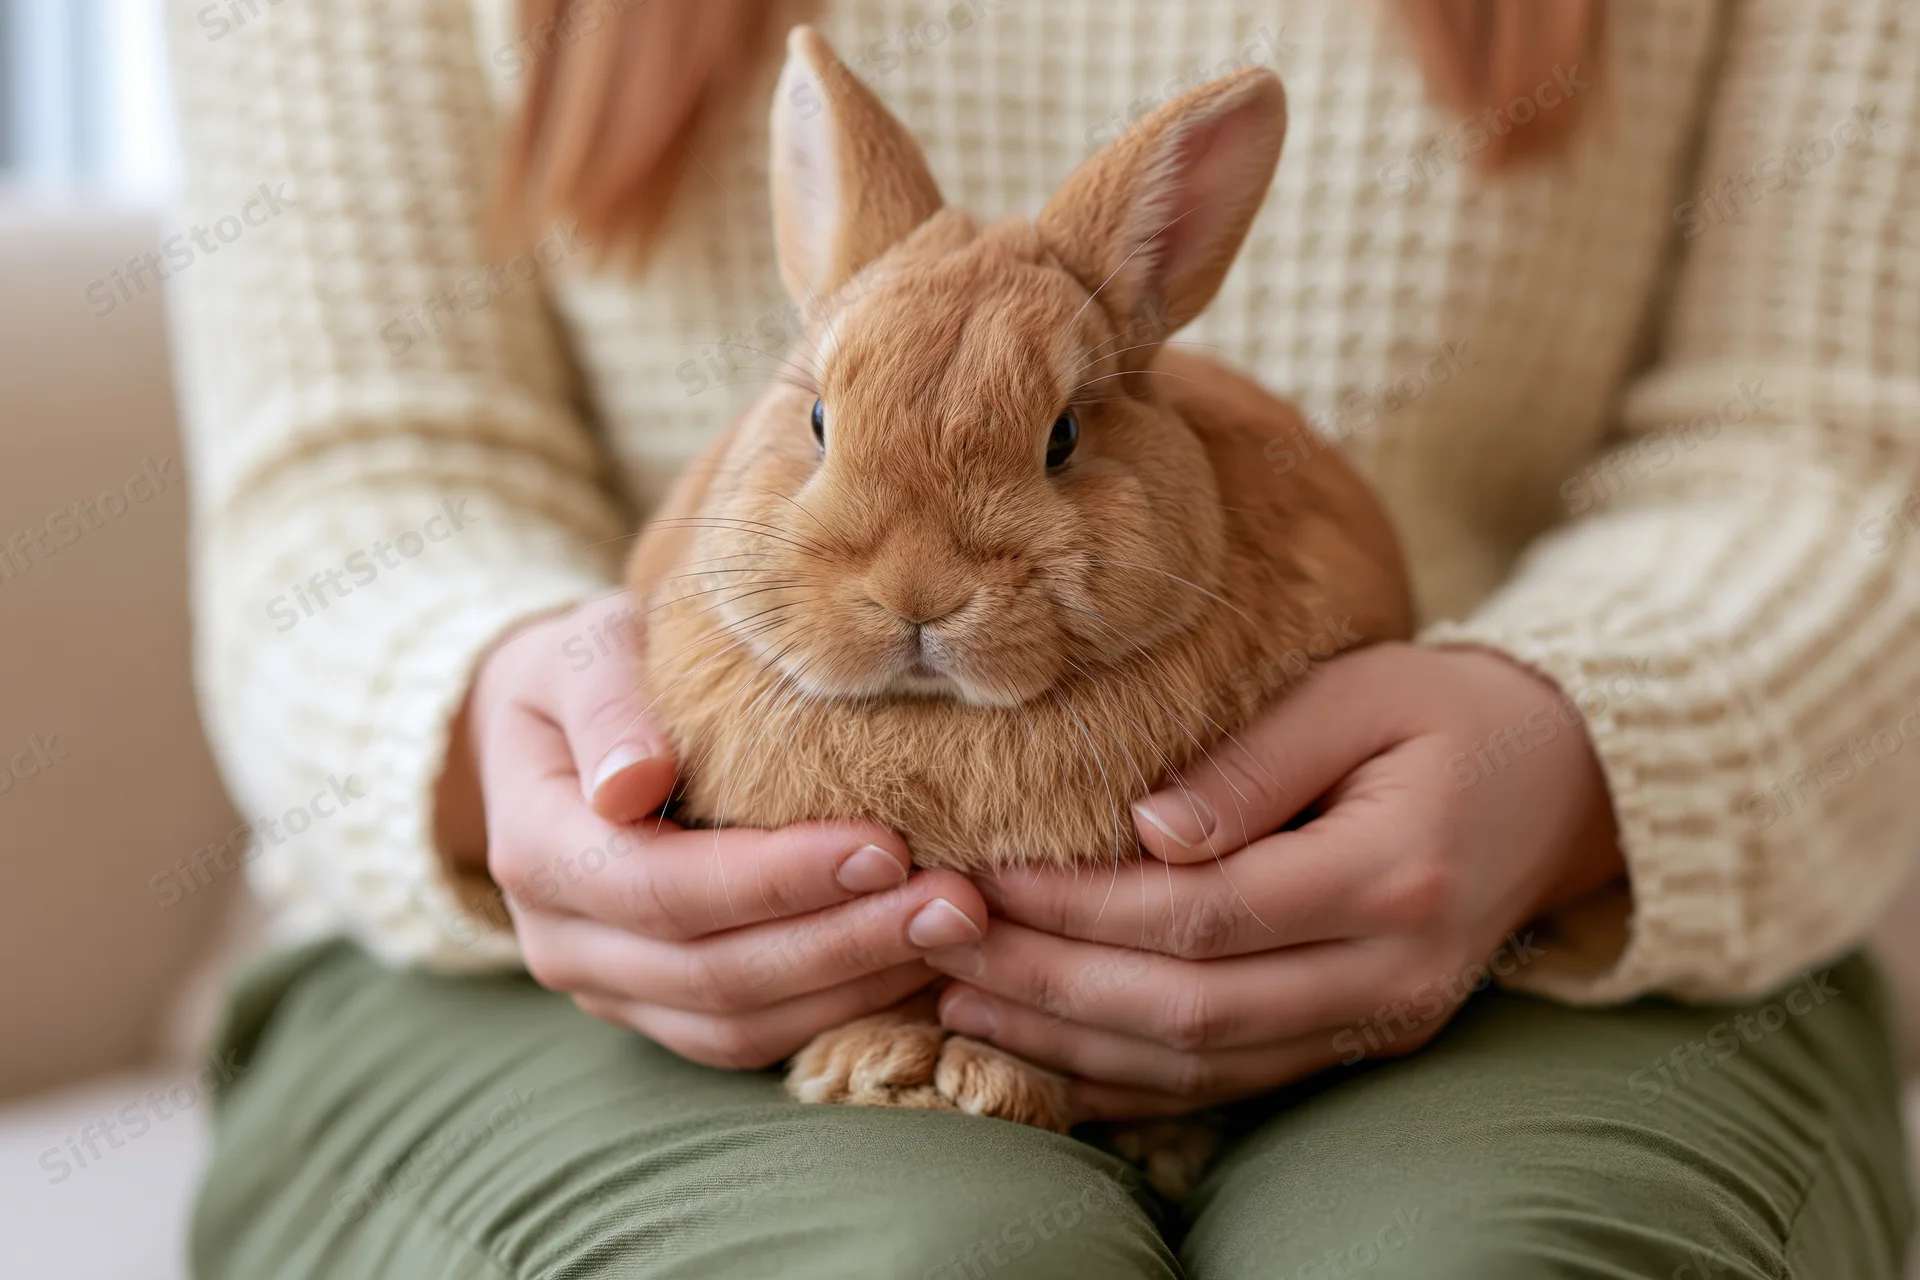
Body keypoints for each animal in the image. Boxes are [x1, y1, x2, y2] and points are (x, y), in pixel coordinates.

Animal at [626, 26, 1414, 1195]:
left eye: (1064, 437)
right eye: (816, 419)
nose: (918, 593)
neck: (934, 719)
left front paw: (990, 1085)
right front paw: (869, 1067)